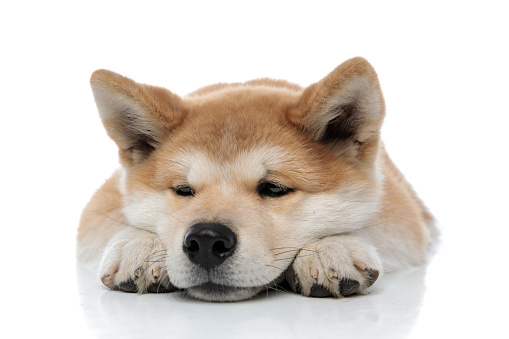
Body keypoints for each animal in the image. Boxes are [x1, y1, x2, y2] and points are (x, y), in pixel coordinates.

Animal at [76, 57, 436, 302]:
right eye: (183, 190)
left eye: (274, 188)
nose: (206, 240)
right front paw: (138, 245)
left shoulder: (400, 215)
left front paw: (331, 247)